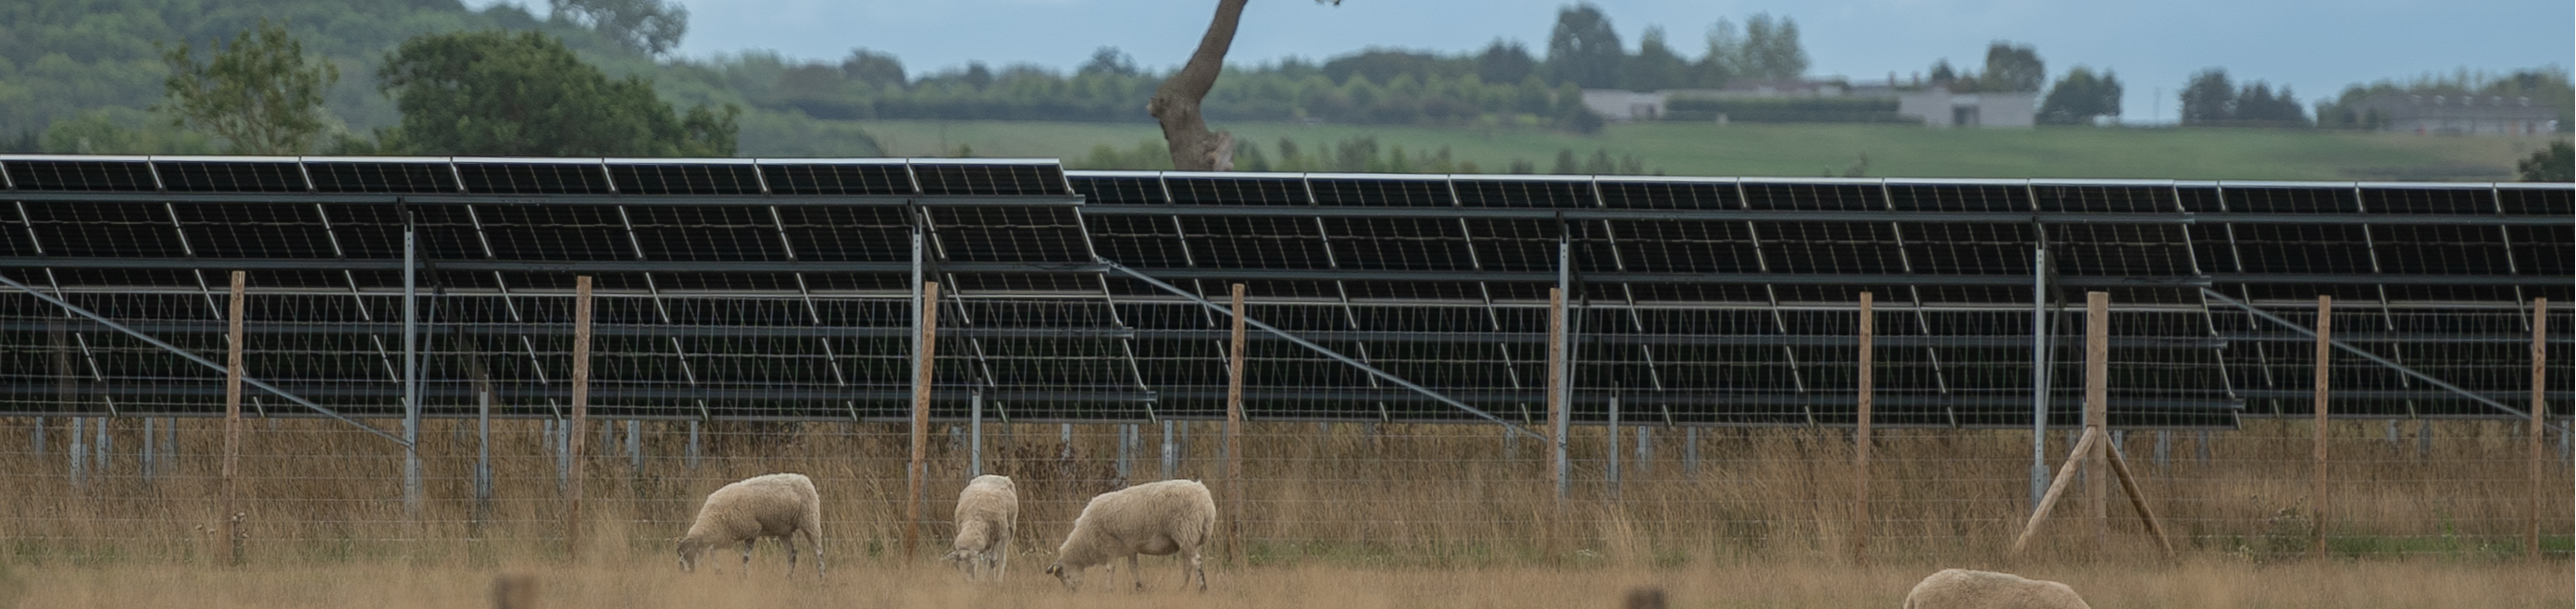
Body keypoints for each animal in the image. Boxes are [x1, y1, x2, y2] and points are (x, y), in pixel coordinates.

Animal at [675, 473, 825, 579]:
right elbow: (712, 551)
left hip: (810, 520)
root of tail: (804, 478)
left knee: (818, 552)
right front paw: (718, 571)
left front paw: (745, 577)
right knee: (792, 553)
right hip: (783, 530)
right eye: (680, 556)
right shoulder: (725, 536)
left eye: (689, 554)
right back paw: (787, 578)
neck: (713, 518)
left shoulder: (752, 530)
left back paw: (822, 578)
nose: (684, 573)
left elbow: (745, 558)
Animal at [1043, 479, 1216, 592]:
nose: (1070, 594)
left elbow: (1110, 568)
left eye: (1061, 575)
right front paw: (1139, 588)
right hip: (1187, 537)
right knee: (1188, 564)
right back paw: (1182, 588)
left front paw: (1109, 589)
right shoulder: (1130, 546)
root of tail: (1205, 497)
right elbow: (1133, 567)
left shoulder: (1110, 544)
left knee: (1196, 562)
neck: (1085, 540)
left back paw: (1202, 588)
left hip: (1186, 530)